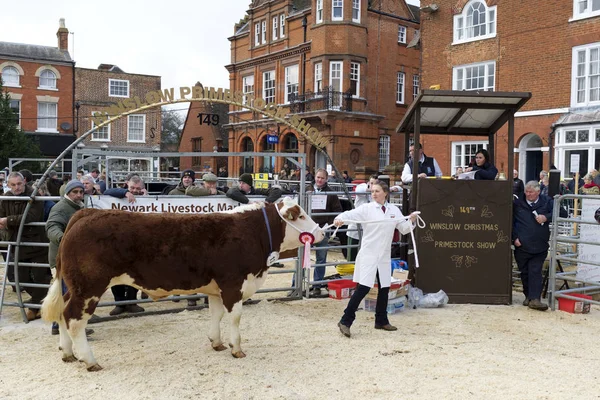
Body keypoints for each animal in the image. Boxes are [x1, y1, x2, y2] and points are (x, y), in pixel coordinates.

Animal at [41, 198, 324, 370]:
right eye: (299, 215)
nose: (321, 232)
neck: (253, 232)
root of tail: (86, 212)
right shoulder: (233, 283)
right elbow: (235, 318)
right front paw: (237, 349)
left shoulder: (217, 288)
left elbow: (215, 315)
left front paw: (217, 343)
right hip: (88, 287)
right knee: (74, 319)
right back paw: (89, 360)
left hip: (73, 287)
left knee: (63, 314)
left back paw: (67, 353)